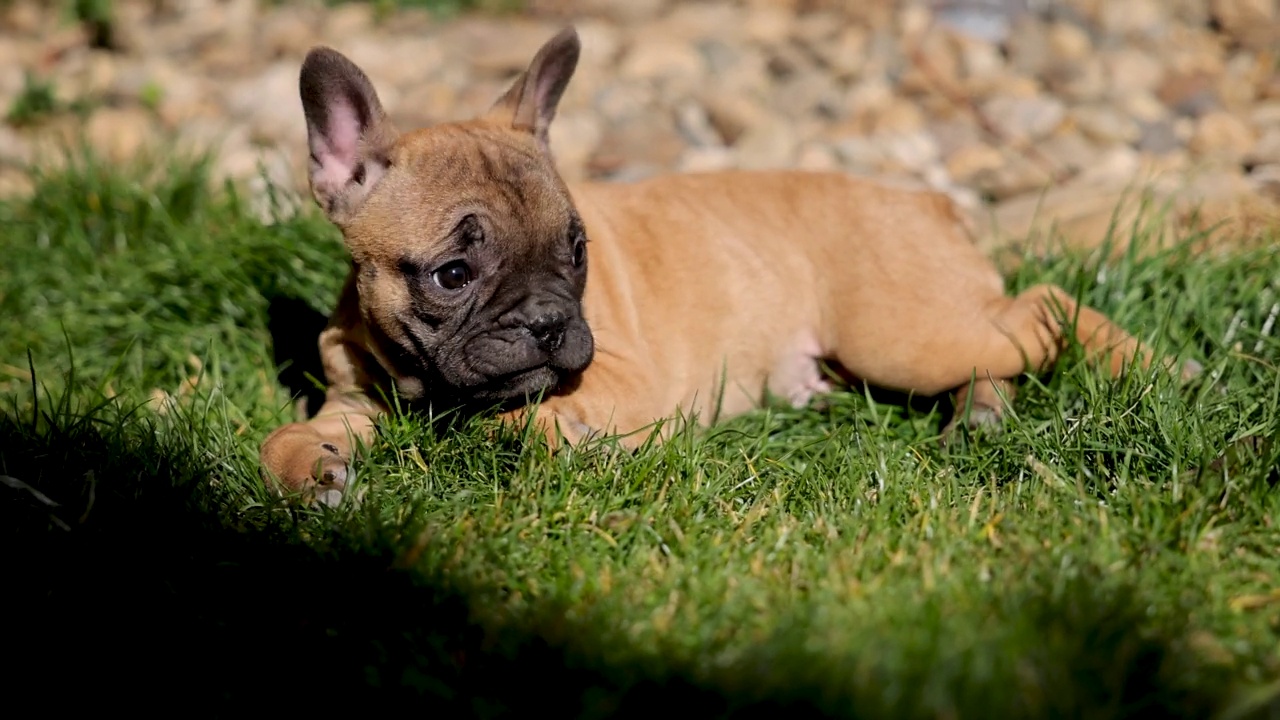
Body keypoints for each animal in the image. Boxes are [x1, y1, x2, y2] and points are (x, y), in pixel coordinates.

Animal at [257, 26, 1198, 504]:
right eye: (453, 275)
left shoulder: (620, 376)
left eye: (576, 250)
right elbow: (288, 432)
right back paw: (983, 416)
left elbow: (516, 423)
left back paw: (1156, 368)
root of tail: (925, 201)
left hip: (902, 330)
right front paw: (309, 472)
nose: (553, 322)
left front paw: (556, 440)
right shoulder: (356, 401)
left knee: (1045, 304)